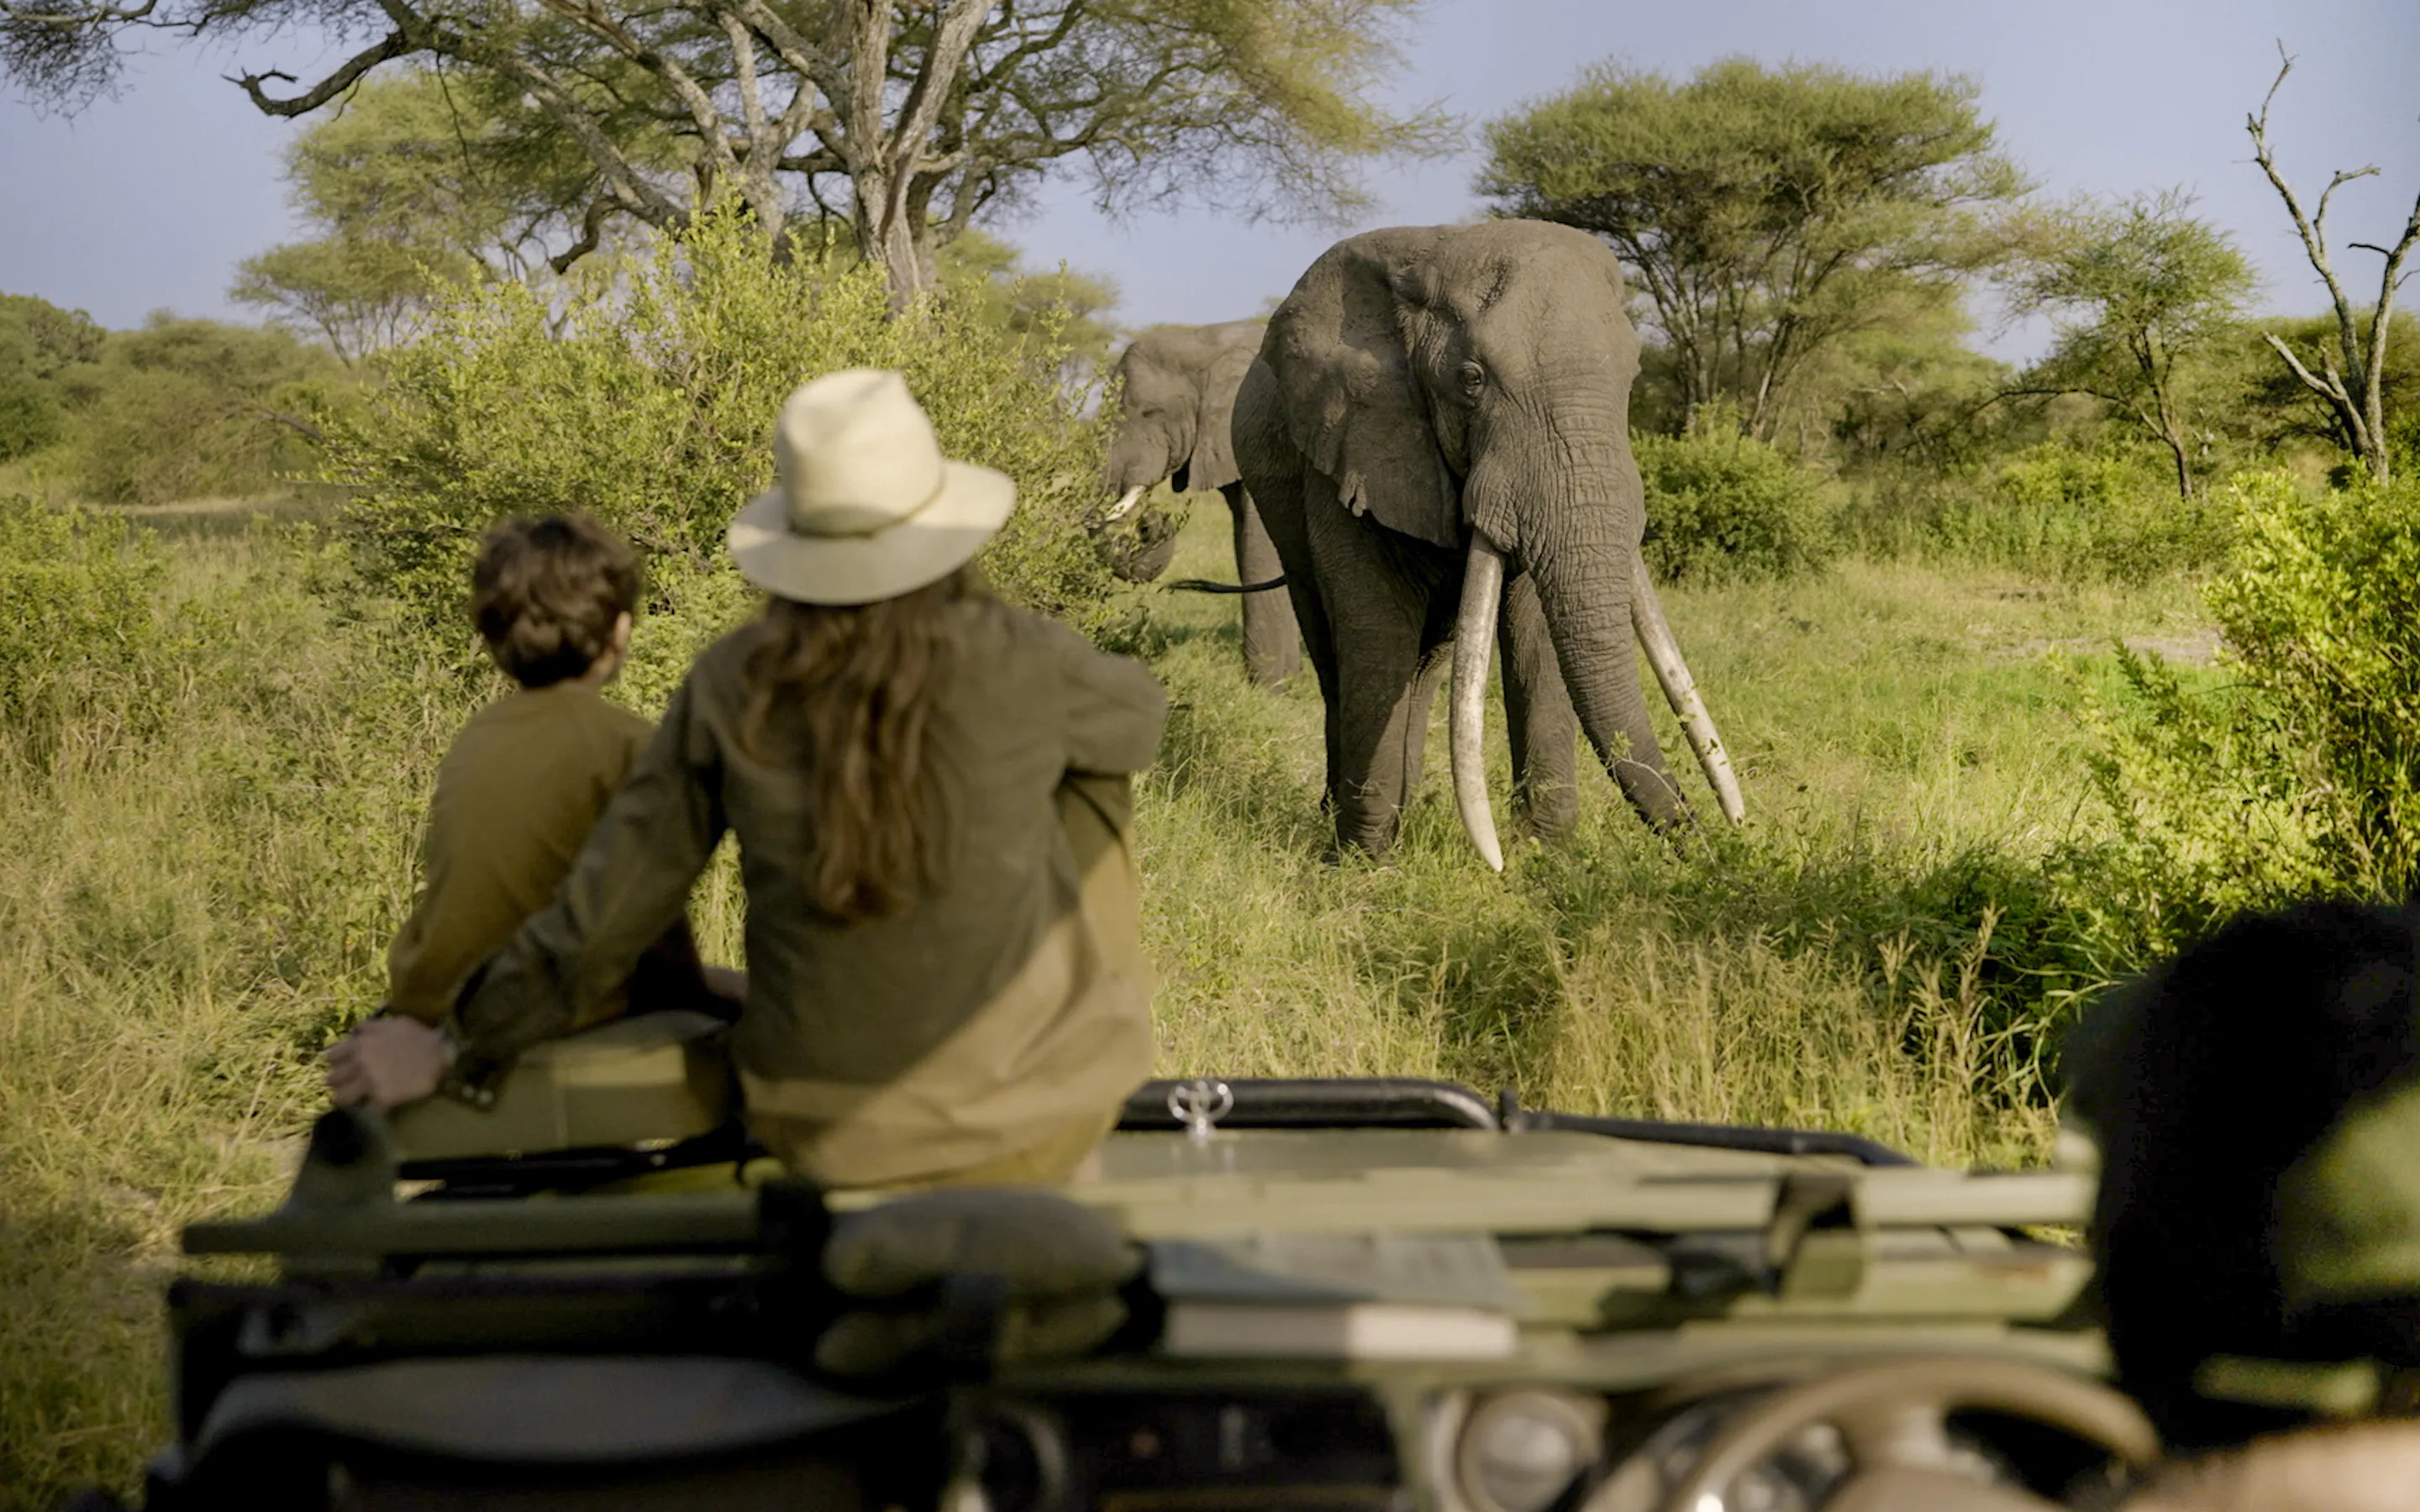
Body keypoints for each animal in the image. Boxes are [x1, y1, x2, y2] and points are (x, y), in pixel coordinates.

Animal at [1093, 321, 1302, 686]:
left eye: (1150, 413)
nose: (1151, 520)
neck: (1208, 341)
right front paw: (1283, 682)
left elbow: (1260, 546)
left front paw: (1269, 687)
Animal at [1231, 220, 1745, 868]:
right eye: (1471, 381)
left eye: (1631, 378)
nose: (1720, 841)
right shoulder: (1346, 440)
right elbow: (1375, 628)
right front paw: (1365, 866)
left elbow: (1535, 633)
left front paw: (1550, 858)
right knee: (1334, 650)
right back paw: (1344, 816)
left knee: (1429, 663)